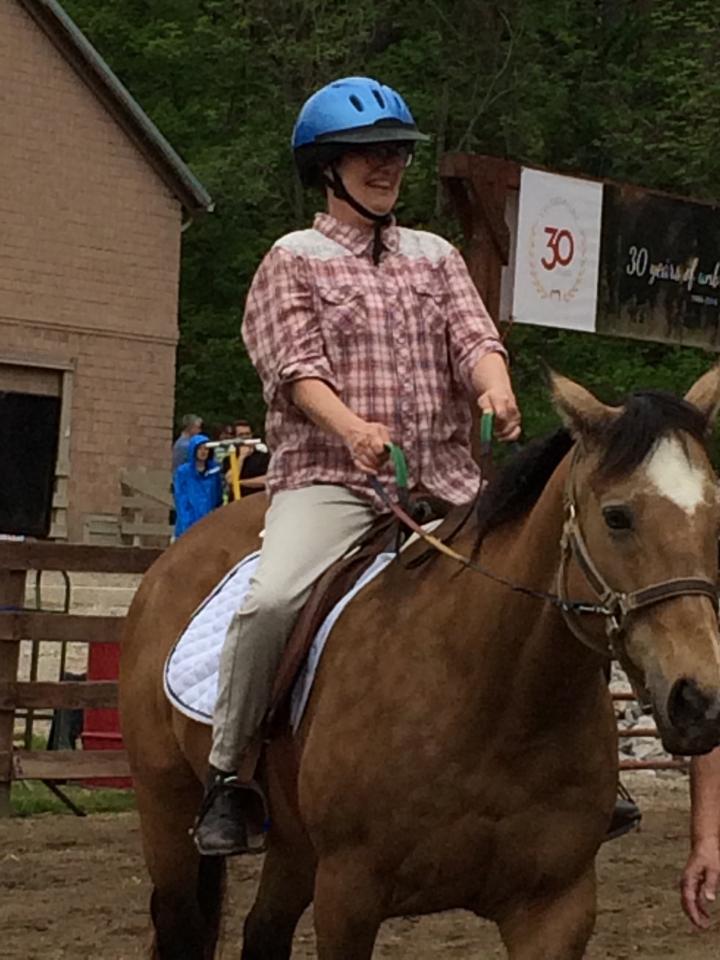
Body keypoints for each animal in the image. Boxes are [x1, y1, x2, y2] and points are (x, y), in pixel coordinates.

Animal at [121, 370, 720, 960]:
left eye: (714, 520)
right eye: (617, 517)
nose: (698, 701)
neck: (493, 700)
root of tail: (169, 561)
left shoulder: (555, 909)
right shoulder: (348, 896)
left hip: (293, 847)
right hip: (167, 814)